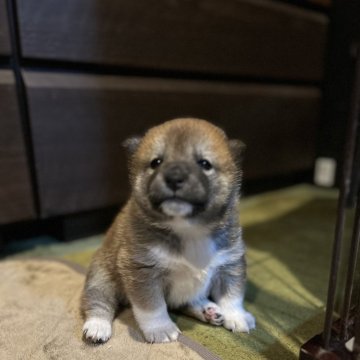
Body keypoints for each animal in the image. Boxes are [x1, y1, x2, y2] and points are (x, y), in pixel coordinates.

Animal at [81, 117, 256, 344]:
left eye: (204, 163)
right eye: (156, 162)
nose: (174, 177)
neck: (189, 229)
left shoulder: (230, 264)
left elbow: (232, 296)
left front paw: (236, 316)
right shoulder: (143, 272)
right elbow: (153, 308)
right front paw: (161, 329)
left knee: (187, 301)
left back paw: (207, 310)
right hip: (101, 277)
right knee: (98, 301)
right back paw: (97, 326)